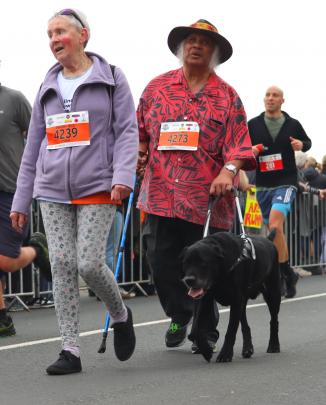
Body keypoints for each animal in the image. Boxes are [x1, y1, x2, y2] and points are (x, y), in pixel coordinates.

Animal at [182, 229, 282, 362]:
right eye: (186, 263)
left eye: (203, 263)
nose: (188, 280)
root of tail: (269, 241)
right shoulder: (206, 300)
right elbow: (198, 329)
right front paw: (206, 350)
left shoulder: (236, 300)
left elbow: (230, 330)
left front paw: (225, 354)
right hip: (244, 301)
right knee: (245, 324)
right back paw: (247, 348)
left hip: (273, 294)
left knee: (274, 321)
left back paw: (274, 345)